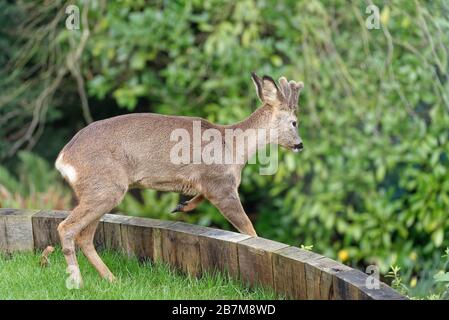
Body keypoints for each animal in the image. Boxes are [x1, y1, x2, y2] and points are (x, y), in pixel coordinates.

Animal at [54, 72, 302, 288]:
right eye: (294, 122)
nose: (300, 145)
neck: (234, 148)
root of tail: (63, 158)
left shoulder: (209, 183)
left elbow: (199, 195)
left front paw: (181, 206)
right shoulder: (221, 185)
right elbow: (249, 230)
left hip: (100, 191)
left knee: (84, 236)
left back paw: (112, 279)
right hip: (105, 186)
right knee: (66, 227)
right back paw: (77, 281)